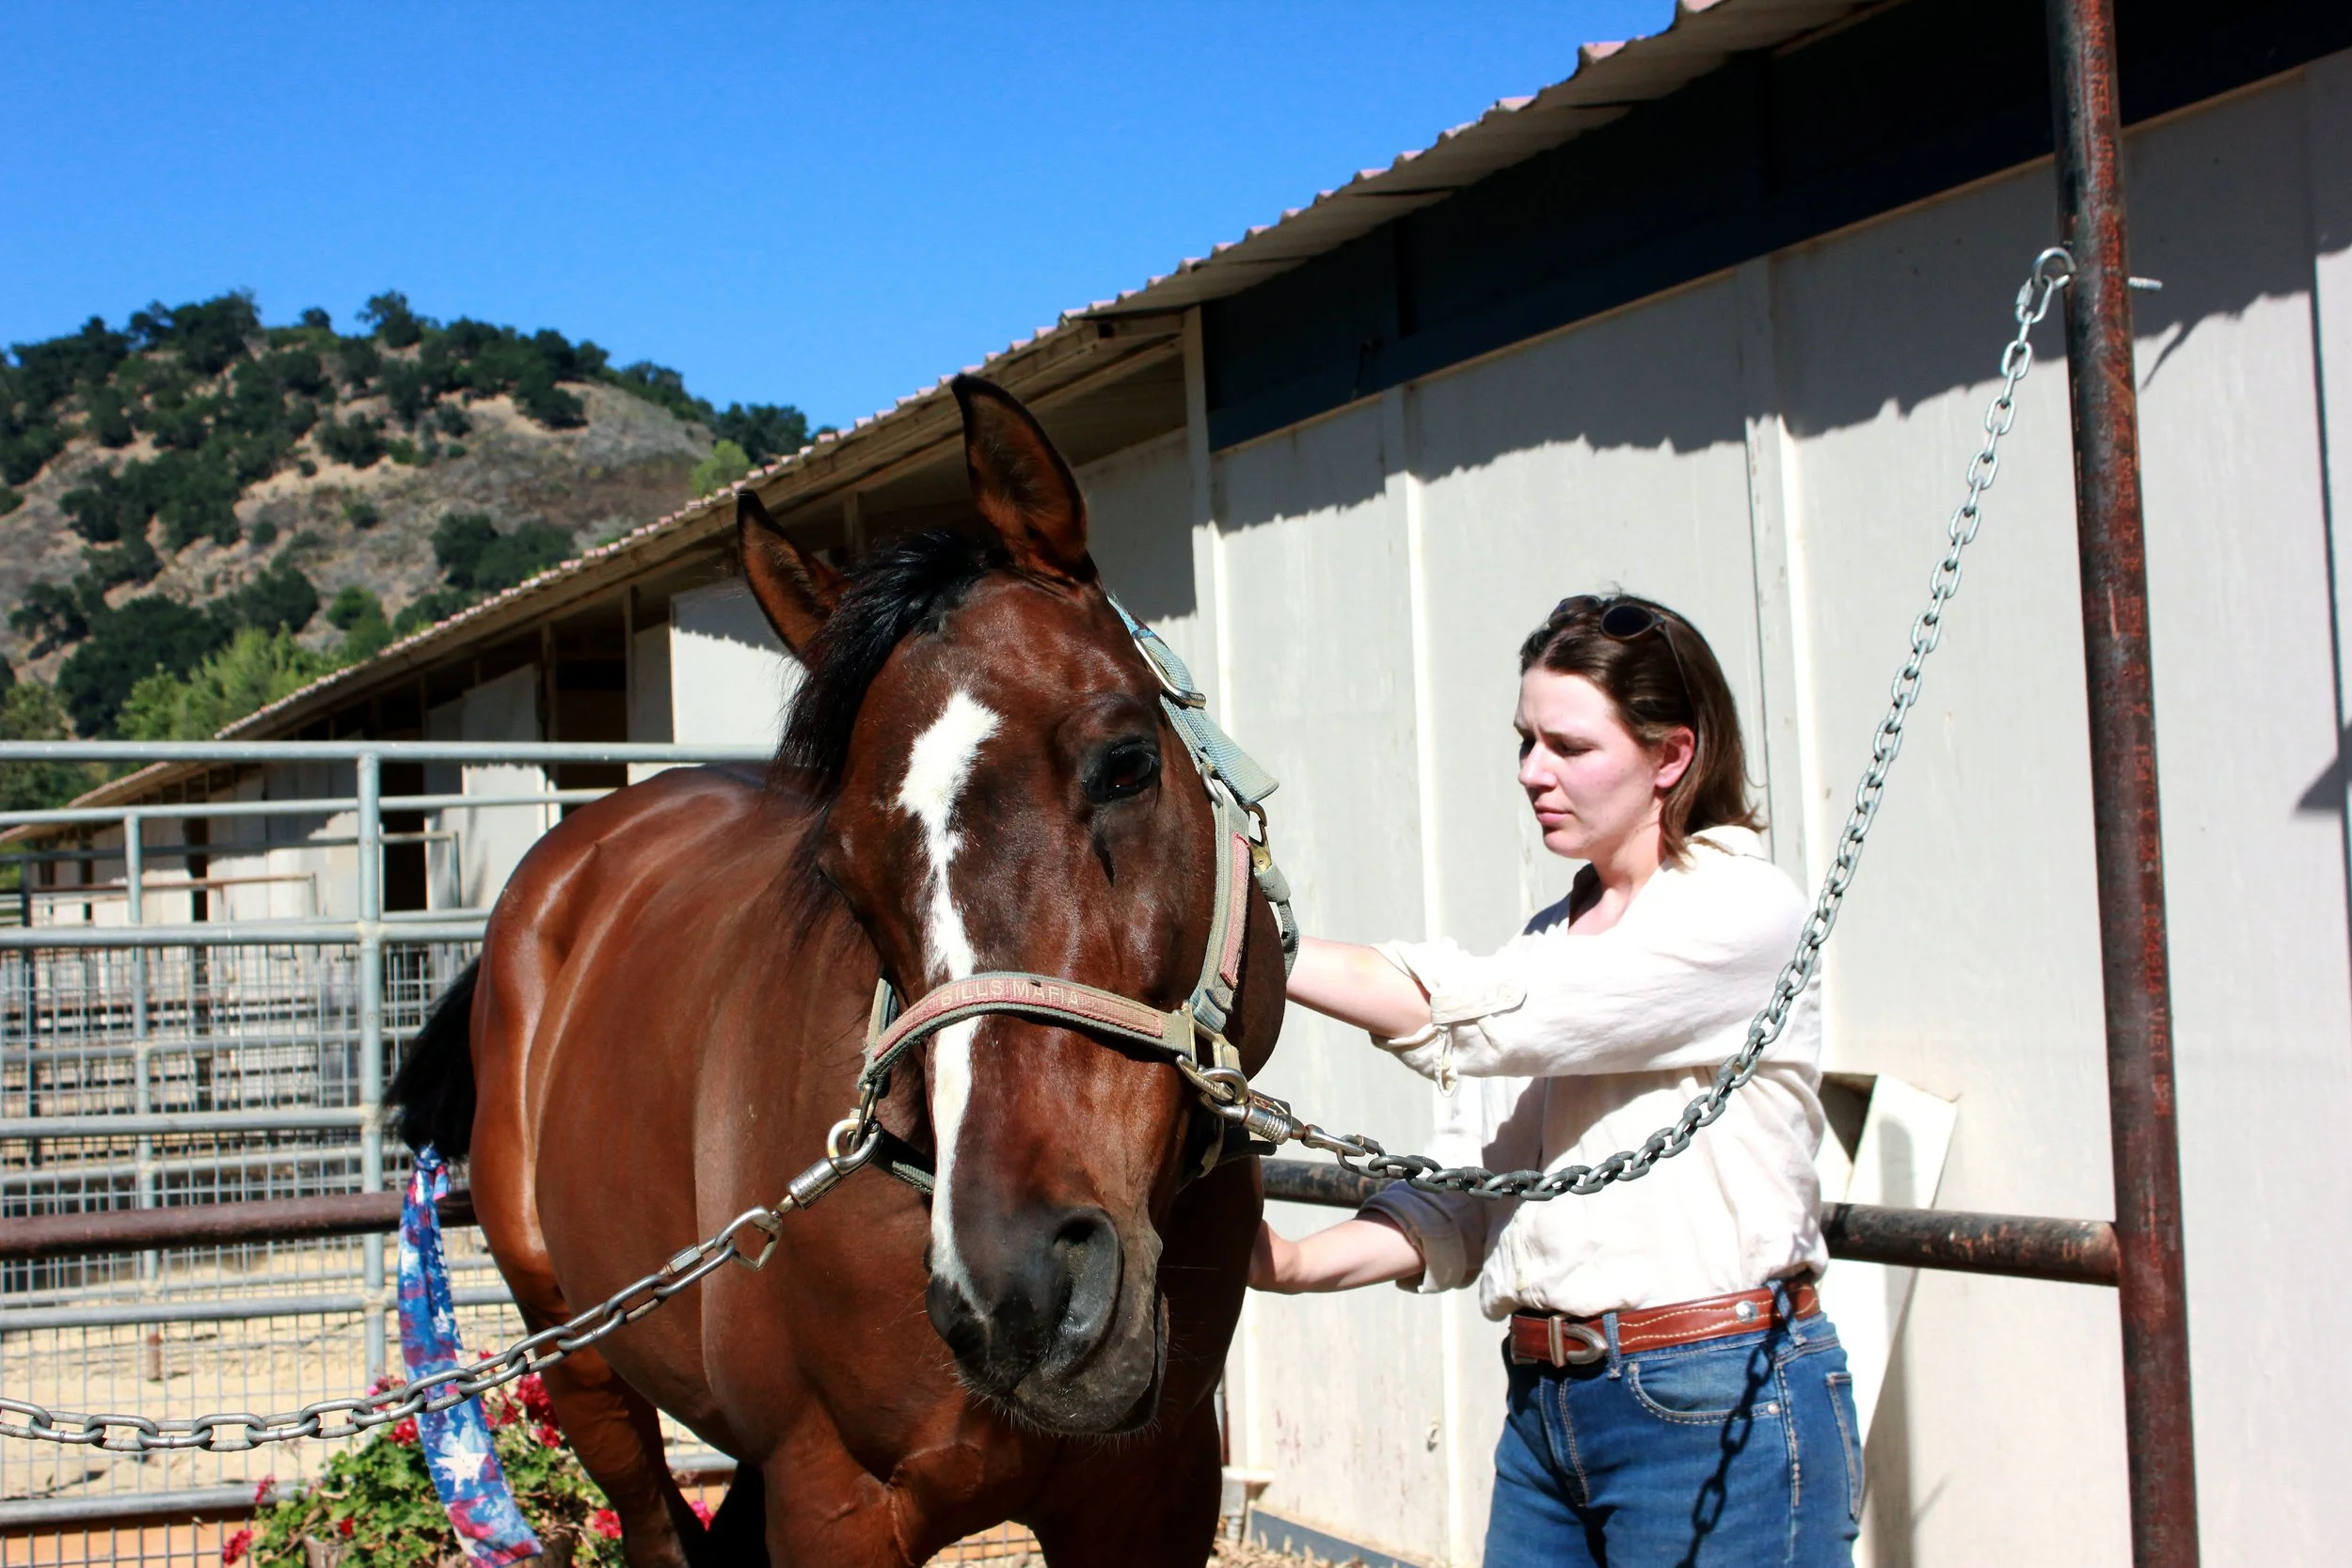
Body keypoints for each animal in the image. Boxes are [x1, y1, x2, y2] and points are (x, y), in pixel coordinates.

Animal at [387, 375, 1288, 1568]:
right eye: (844, 870)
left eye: (1127, 763)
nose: (1020, 1293)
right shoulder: (831, 1501)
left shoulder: (1156, 1490)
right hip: (580, 1364)